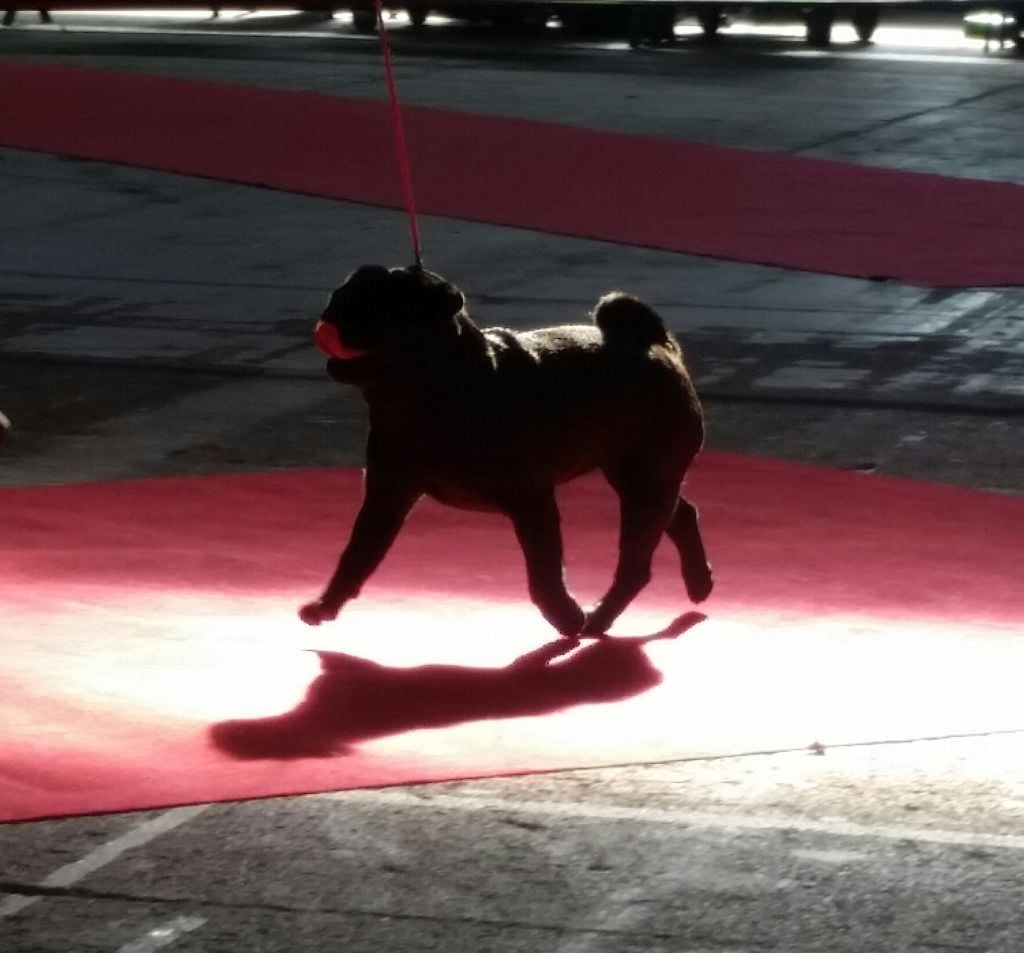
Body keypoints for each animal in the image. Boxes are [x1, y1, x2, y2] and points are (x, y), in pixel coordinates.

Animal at [300, 265, 712, 637]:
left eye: (377, 307)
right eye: (341, 296)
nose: (331, 312)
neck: (430, 392)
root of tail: (657, 344)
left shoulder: (532, 501)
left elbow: (544, 571)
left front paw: (564, 616)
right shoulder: (386, 496)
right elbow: (357, 556)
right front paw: (327, 603)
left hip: (646, 481)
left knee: (636, 561)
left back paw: (599, 618)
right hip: (635, 477)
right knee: (681, 515)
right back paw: (698, 582)